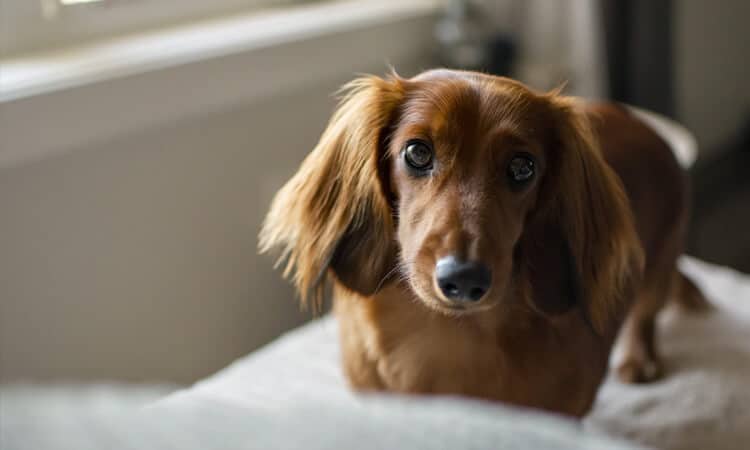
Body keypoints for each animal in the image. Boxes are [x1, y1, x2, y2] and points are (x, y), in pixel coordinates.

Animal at [262, 68, 708, 416]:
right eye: (417, 152)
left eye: (523, 166)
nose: (463, 278)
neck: (445, 338)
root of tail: (646, 127)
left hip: (658, 264)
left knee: (645, 315)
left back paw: (638, 359)